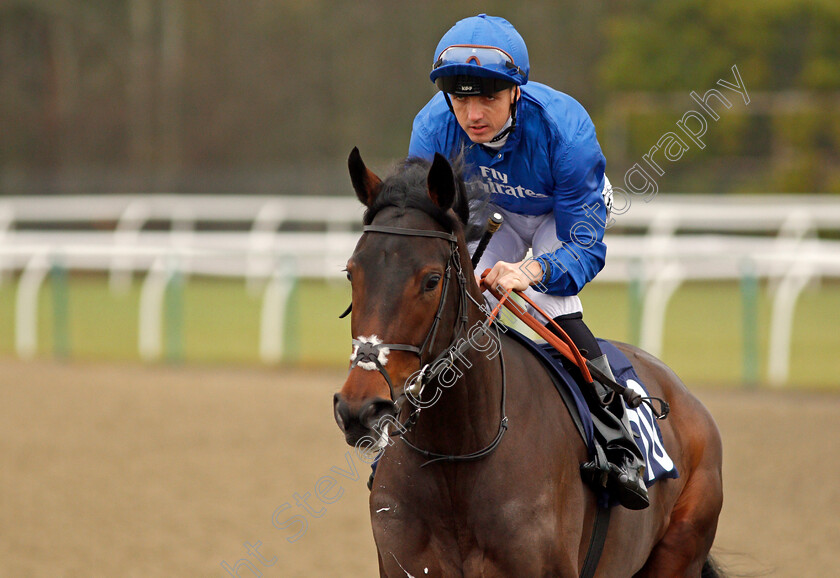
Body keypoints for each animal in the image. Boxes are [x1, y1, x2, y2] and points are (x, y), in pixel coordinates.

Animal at [334, 150, 720, 576]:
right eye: (351, 273)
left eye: (431, 280)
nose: (359, 409)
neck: (455, 456)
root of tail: (685, 397)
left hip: (680, 550)